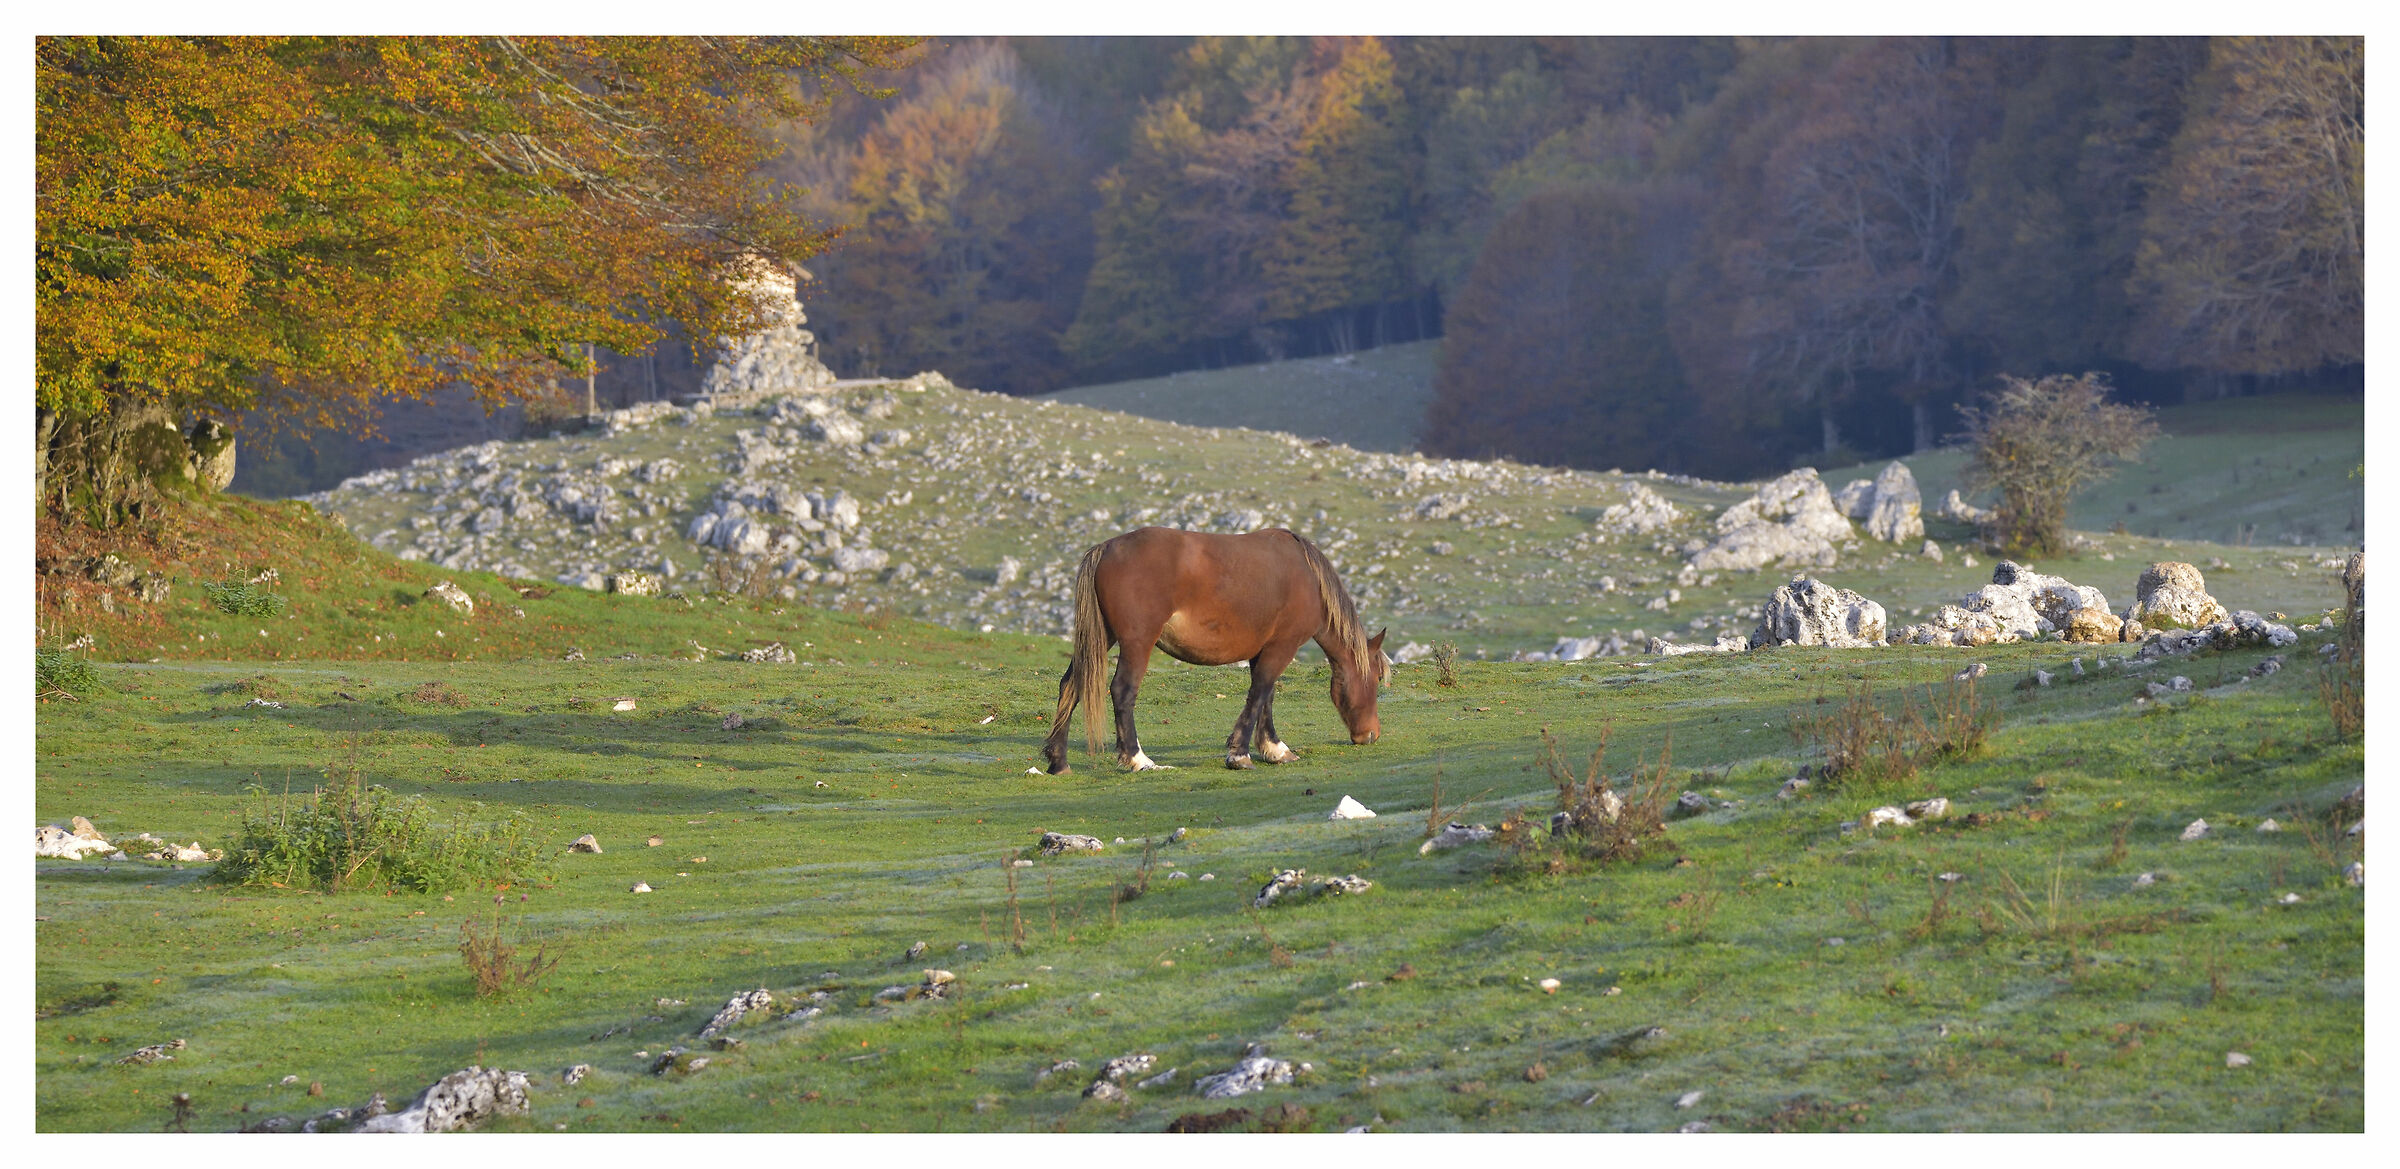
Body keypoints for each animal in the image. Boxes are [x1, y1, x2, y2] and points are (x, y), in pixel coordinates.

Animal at [1043, 526, 1389, 774]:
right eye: (1375, 680)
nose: (1371, 735)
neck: (1309, 578)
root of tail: (1106, 549)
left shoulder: (1262, 650)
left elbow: (1265, 696)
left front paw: (1274, 749)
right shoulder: (1282, 646)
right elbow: (1260, 693)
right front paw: (1240, 754)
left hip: (1104, 637)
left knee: (1071, 686)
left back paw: (1058, 762)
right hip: (1136, 643)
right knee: (1122, 691)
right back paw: (1138, 759)